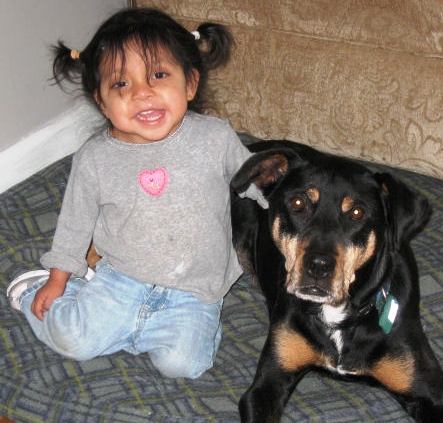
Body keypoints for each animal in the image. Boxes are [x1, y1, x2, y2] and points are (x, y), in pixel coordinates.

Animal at [232, 141, 443, 422]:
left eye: (357, 212)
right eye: (297, 203)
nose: (318, 266)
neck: (339, 316)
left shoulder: (428, 391)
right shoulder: (265, 387)